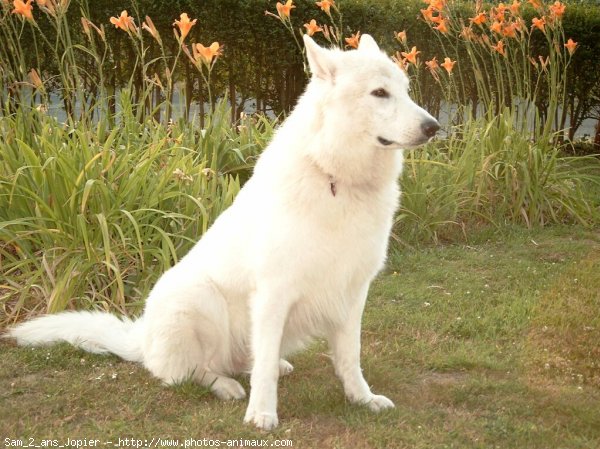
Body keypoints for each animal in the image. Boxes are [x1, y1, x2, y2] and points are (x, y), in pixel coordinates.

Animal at [4, 34, 438, 428]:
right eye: (379, 93)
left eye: (405, 90)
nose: (433, 127)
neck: (334, 177)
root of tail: (141, 339)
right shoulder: (274, 292)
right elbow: (263, 372)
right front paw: (262, 414)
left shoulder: (351, 293)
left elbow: (349, 358)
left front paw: (361, 398)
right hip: (199, 297)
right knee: (188, 372)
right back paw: (224, 385)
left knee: (248, 359)